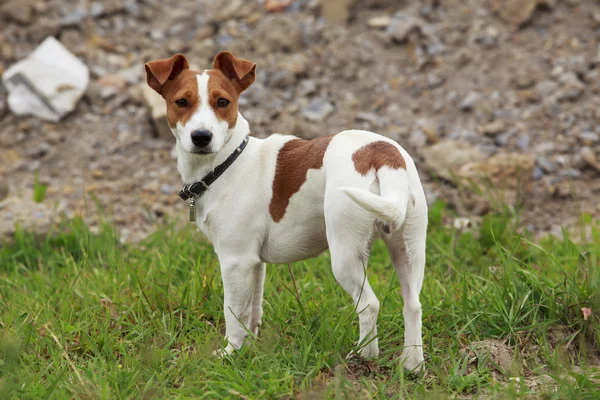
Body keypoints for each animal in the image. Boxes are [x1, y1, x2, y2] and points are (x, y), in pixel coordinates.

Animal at [145, 51, 426, 370]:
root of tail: (381, 153)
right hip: (408, 250)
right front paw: (249, 347)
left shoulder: (235, 261)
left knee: (369, 304)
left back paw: (364, 355)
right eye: (181, 102)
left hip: (345, 254)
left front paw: (230, 353)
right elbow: (252, 310)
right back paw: (412, 364)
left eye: (223, 102)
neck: (227, 162)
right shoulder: (253, 263)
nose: (201, 136)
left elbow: (233, 312)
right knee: (413, 305)